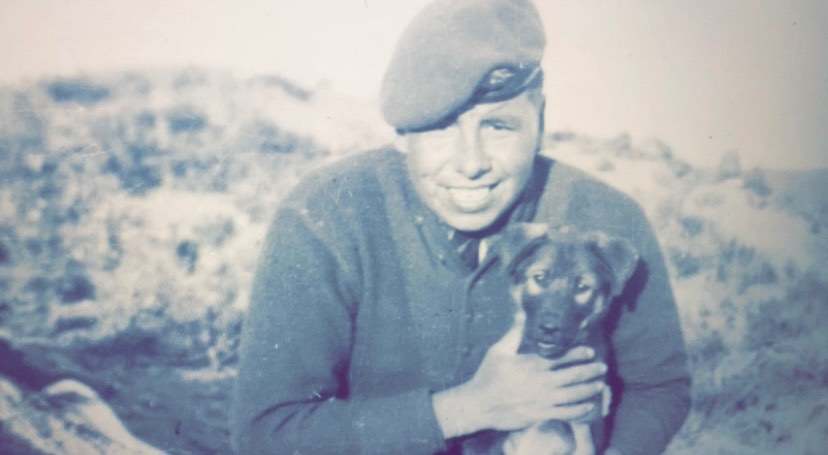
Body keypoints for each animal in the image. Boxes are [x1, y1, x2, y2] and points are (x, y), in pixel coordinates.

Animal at [477, 223, 639, 455]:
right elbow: (553, 427)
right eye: (540, 278)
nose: (549, 328)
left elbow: (555, 426)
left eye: (582, 287)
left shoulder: (588, 418)